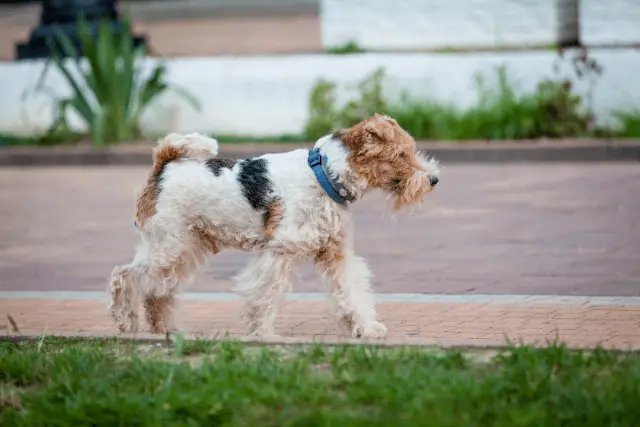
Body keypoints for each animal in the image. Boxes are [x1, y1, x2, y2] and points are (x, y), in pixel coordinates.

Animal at [109, 113, 440, 338]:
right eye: (401, 154)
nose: (434, 179)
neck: (324, 176)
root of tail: (162, 166)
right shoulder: (281, 251)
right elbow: (265, 295)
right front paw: (264, 333)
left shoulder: (335, 253)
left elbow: (351, 290)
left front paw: (367, 327)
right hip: (169, 247)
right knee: (124, 277)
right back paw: (126, 323)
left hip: (184, 250)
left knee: (157, 292)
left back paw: (166, 330)